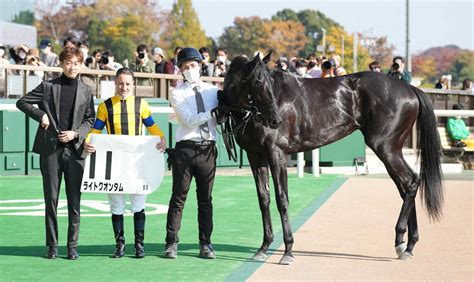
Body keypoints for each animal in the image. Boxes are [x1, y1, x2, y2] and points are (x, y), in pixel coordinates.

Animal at [220, 52, 442, 264]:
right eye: (258, 83)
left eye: (267, 82)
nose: (275, 120)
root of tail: (410, 89)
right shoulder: (255, 156)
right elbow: (263, 198)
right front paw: (264, 247)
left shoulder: (277, 154)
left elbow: (282, 199)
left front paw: (288, 250)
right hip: (392, 149)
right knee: (406, 186)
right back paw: (408, 245)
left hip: (386, 148)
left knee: (410, 182)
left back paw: (400, 240)